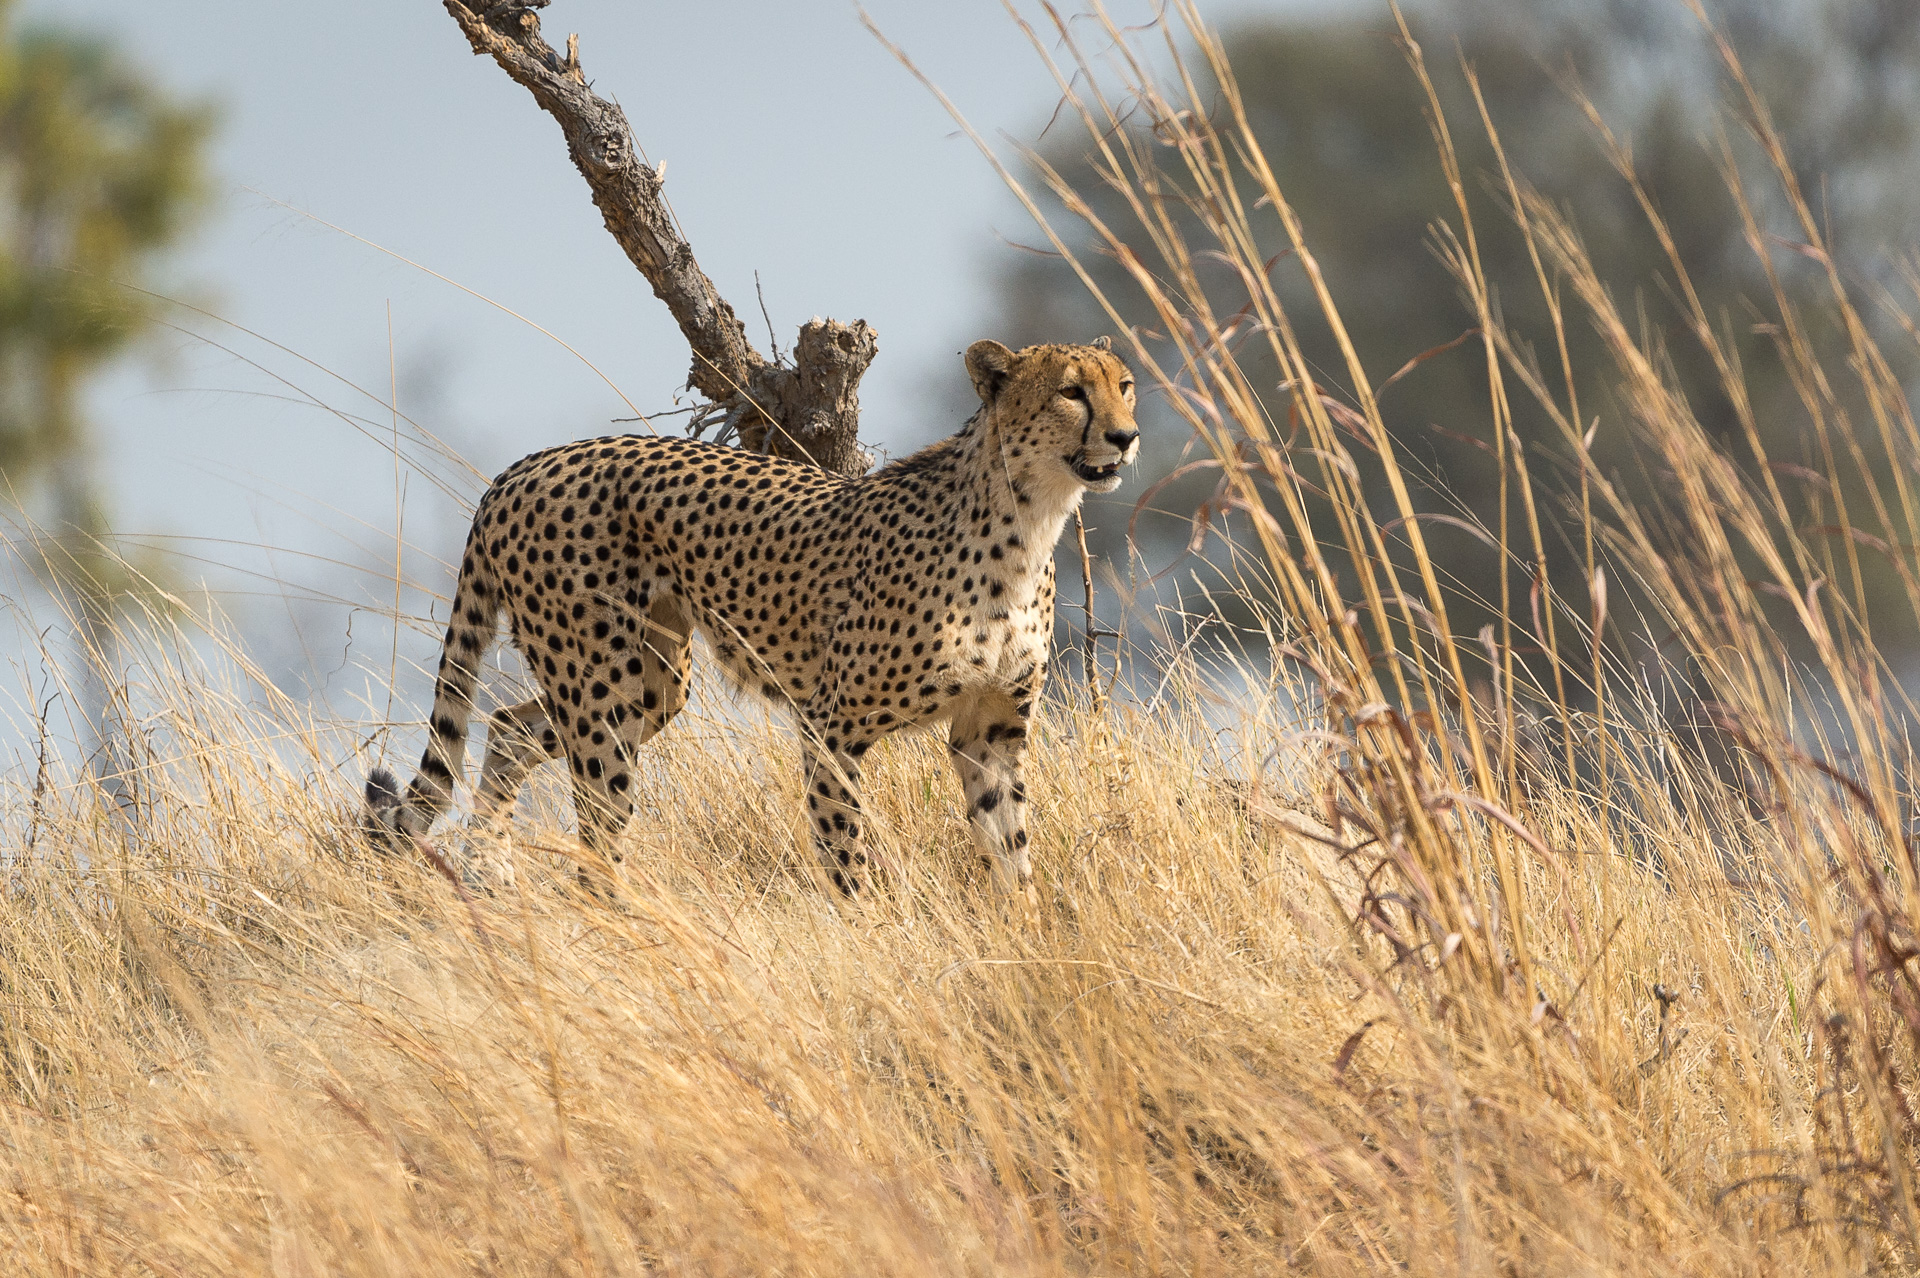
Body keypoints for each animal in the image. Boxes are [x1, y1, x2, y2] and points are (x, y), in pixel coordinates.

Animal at [363, 337, 1140, 899]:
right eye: (1072, 391)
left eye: (1124, 384)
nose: (1127, 436)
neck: (1028, 519)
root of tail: (522, 468)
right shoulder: (830, 724)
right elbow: (844, 852)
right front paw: (870, 936)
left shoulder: (991, 729)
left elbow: (1011, 849)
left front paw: (1028, 941)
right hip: (602, 686)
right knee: (598, 823)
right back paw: (611, 926)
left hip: (652, 681)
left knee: (509, 728)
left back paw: (488, 872)